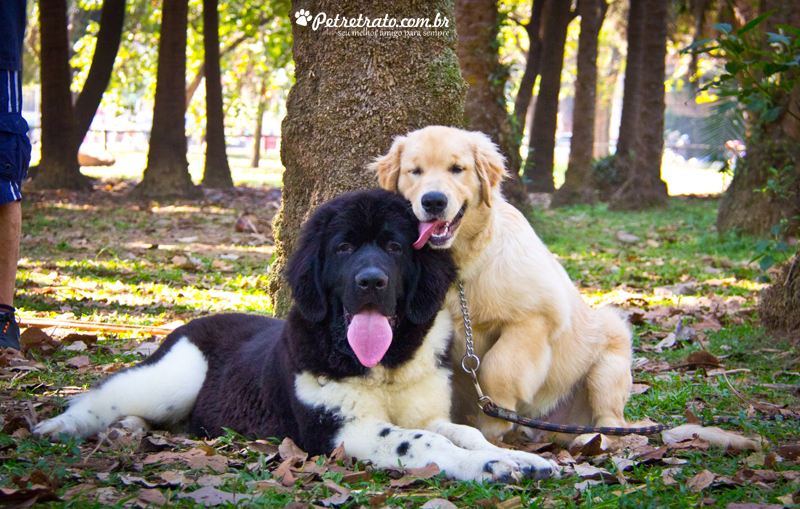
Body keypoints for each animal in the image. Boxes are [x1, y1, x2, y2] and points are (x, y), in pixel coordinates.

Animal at [36, 190, 556, 480]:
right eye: (343, 248)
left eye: (393, 247)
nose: (371, 281)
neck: (383, 368)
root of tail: (194, 321)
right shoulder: (341, 429)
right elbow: (422, 443)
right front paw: (489, 467)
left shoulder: (426, 412)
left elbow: (463, 431)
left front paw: (517, 458)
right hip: (174, 378)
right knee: (104, 396)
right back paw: (58, 427)